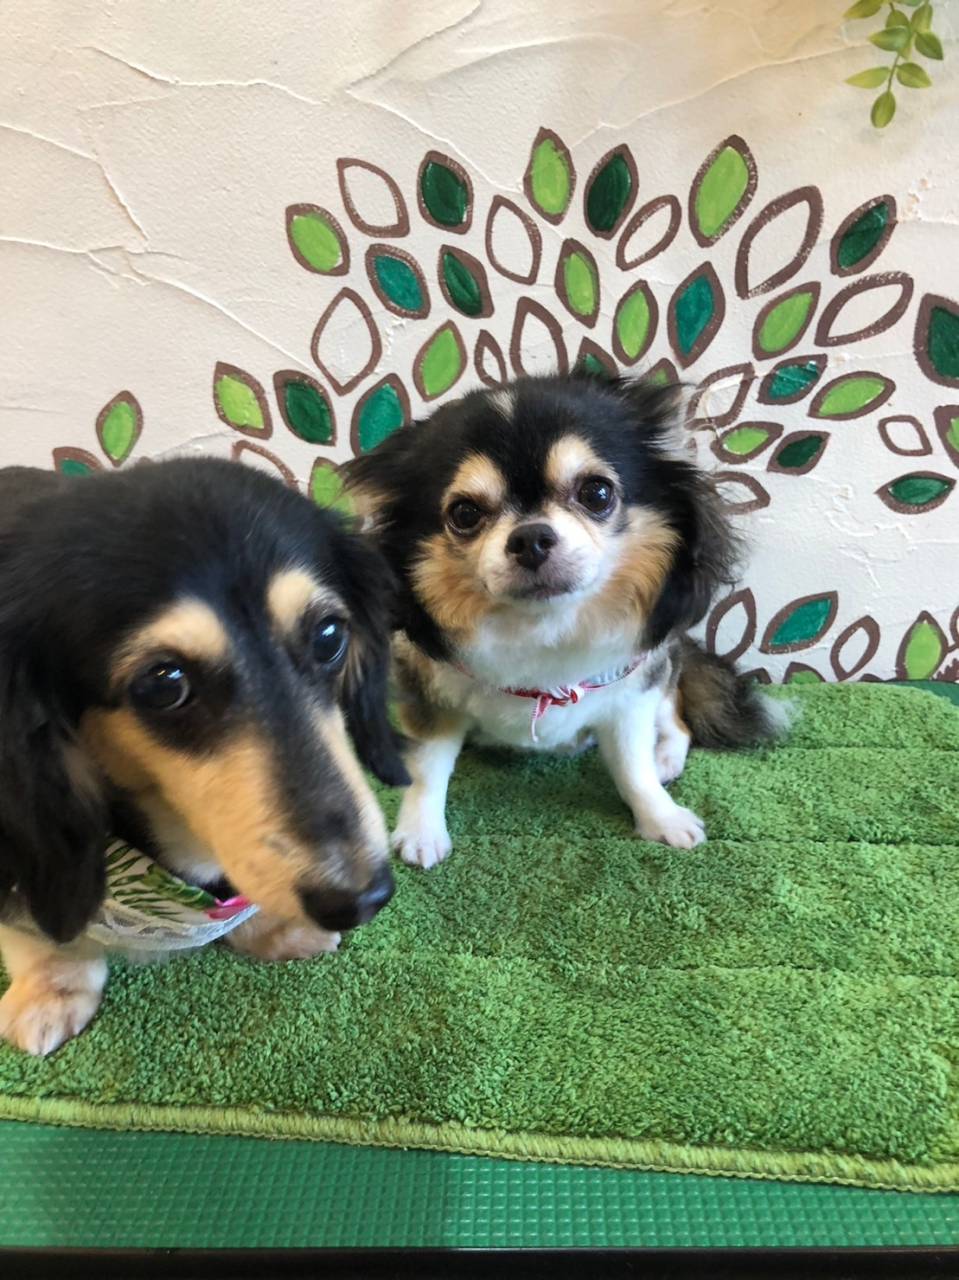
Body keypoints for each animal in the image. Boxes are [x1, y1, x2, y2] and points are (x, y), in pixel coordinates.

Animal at [344, 370, 785, 869]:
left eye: (596, 492)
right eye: (464, 513)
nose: (531, 538)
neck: (544, 628)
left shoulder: (631, 693)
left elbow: (633, 766)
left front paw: (660, 817)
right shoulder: (427, 694)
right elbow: (428, 768)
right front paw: (421, 831)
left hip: (662, 666)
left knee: (677, 715)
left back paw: (666, 758)